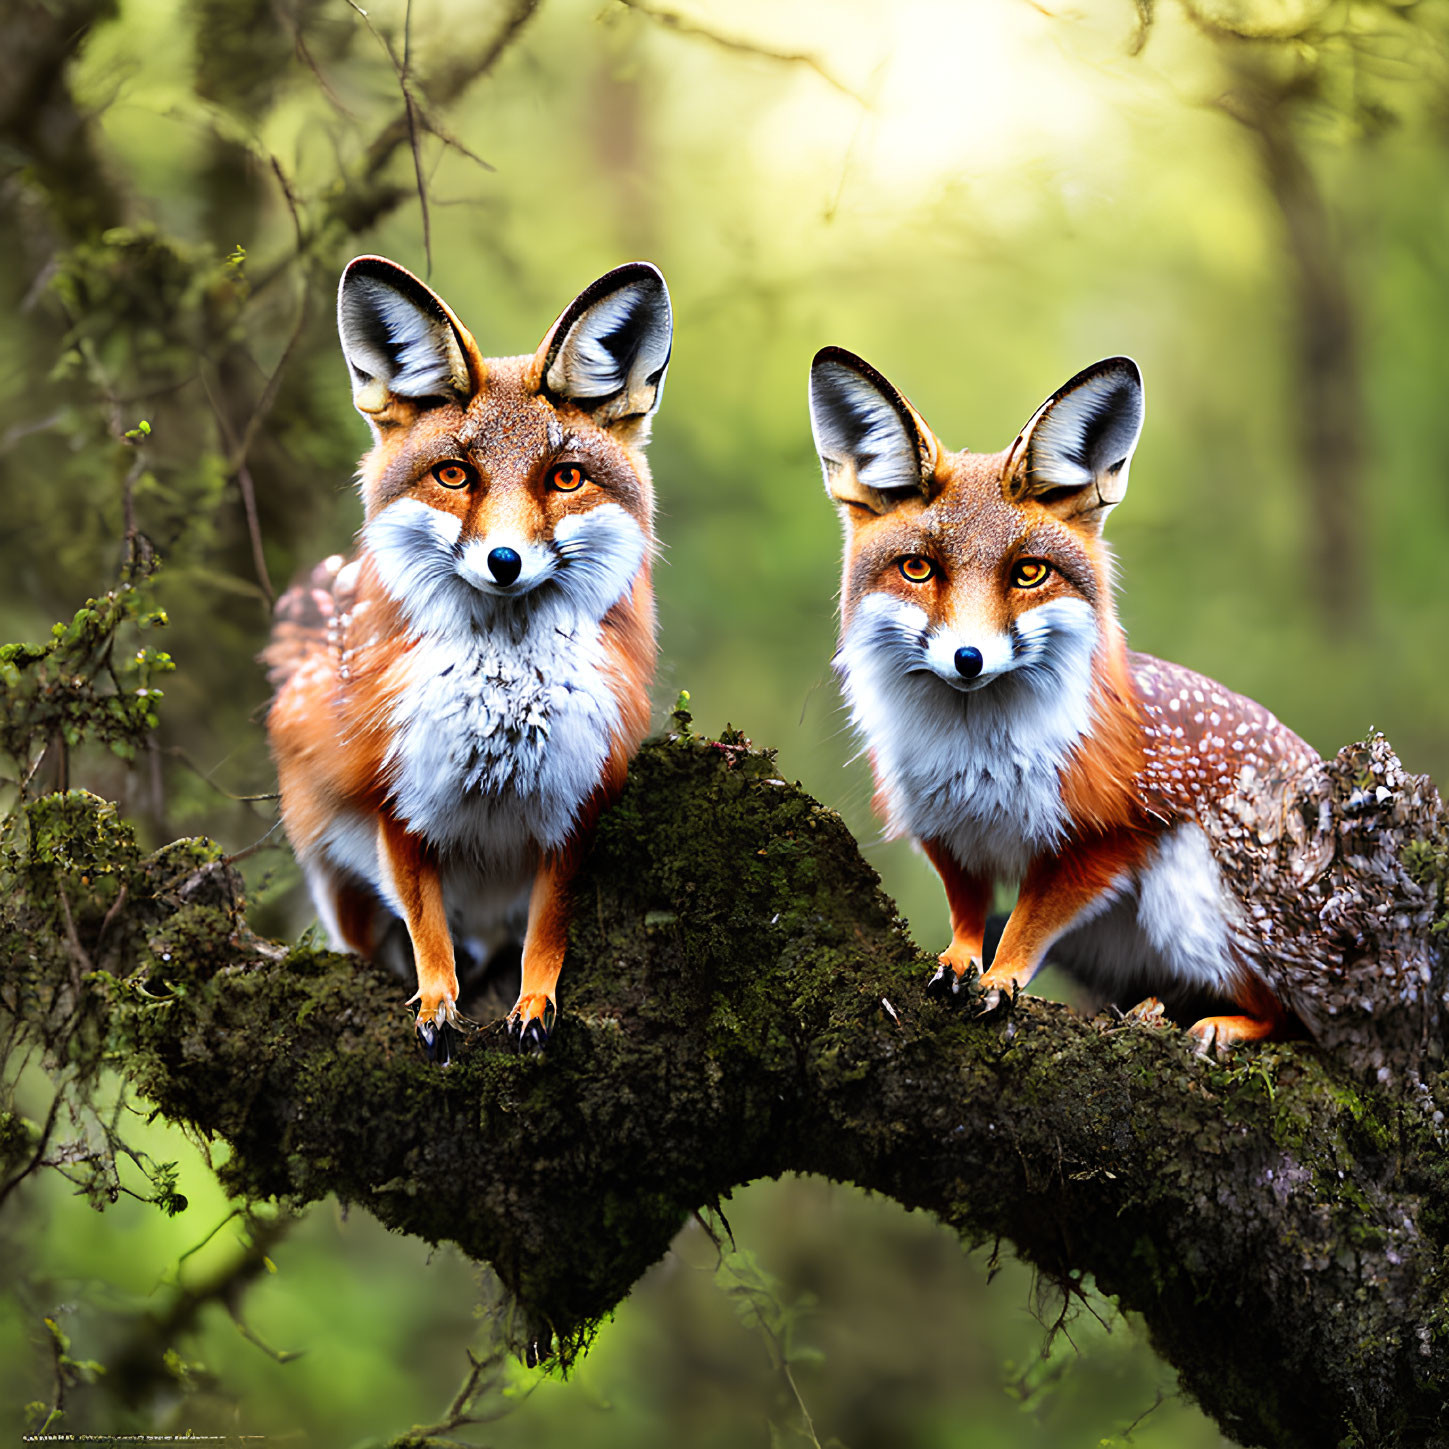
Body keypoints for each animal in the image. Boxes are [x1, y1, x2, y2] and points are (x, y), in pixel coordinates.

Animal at [266, 255, 672, 1060]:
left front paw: (536, 1002)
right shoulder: (398, 801)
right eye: (454, 475)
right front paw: (435, 1001)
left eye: (564, 478)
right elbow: (428, 928)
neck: (503, 716)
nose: (504, 562)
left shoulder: (575, 803)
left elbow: (547, 930)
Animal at [811, 344, 1321, 1049]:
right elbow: (969, 914)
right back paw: (1150, 1009)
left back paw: (1217, 1024)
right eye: (919, 569)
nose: (968, 660)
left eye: (1029, 573)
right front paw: (962, 959)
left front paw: (1002, 977)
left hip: (1185, 906)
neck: (977, 759)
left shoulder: (1105, 840)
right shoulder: (944, 828)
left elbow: (1030, 923)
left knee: (1290, 1017)